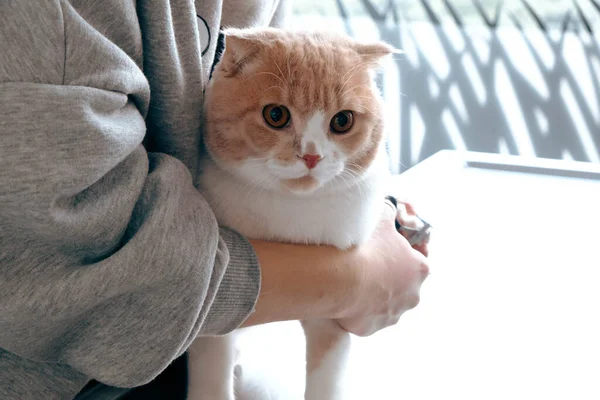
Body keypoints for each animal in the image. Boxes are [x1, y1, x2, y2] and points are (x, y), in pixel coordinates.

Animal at [191, 28, 408, 400]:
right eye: (275, 115)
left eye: (343, 120)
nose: (311, 156)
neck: (290, 212)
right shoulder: (213, 331)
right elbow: (211, 378)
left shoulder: (335, 310)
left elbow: (326, 379)